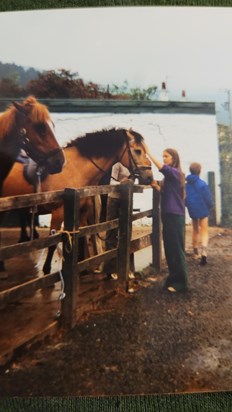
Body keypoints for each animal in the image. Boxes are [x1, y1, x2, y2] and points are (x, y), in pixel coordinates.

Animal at [2, 125, 154, 274]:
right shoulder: (58, 213)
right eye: (138, 151)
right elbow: (53, 243)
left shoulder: (82, 212)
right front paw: (46, 270)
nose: (149, 177)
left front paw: (81, 266)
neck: (76, 168)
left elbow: (80, 238)